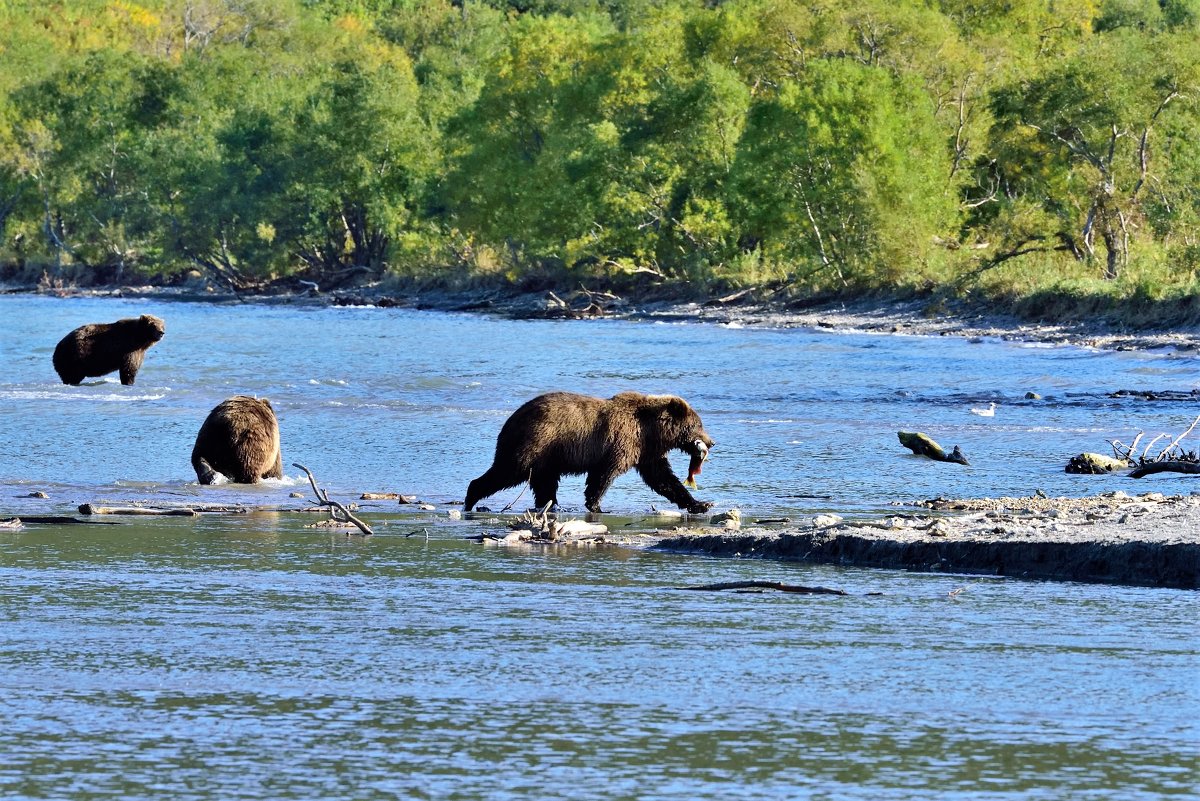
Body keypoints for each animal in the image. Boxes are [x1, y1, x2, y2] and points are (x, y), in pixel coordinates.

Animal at [463, 393, 710, 513]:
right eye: (698, 424)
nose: (712, 442)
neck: (650, 431)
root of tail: (511, 418)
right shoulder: (621, 443)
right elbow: (603, 474)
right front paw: (597, 505)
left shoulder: (647, 452)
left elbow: (663, 479)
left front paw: (700, 504)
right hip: (535, 443)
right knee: (508, 471)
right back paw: (471, 497)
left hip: (548, 456)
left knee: (544, 484)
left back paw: (552, 505)